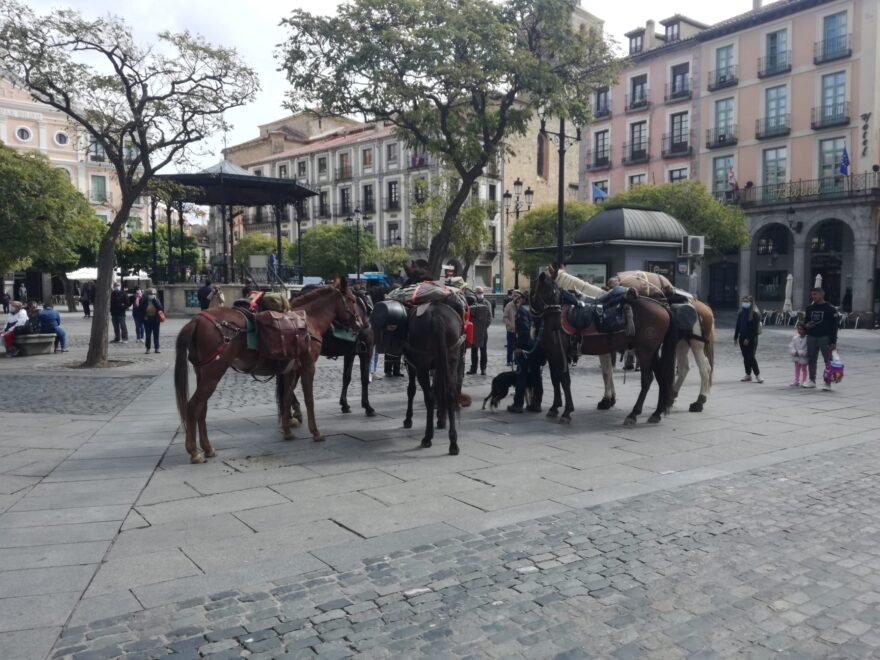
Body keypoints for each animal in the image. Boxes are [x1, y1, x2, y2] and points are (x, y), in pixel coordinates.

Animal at [175, 282, 360, 464]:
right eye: (352, 300)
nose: (359, 324)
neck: (308, 322)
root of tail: (197, 319)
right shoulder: (308, 366)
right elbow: (309, 400)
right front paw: (315, 432)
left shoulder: (291, 370)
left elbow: (286, 398)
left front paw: (287, 430)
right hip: (214, 372)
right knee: (193, 406)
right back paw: (194, 452)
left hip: (202, 373)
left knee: (202, 407)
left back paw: (207, 448)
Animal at [528, 270, 680, 426]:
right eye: (545, 294)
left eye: (556, 294)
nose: (555, 325)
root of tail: (663, 307)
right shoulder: (552, 354)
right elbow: (555, 379)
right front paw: (554, 407)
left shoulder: (560, 353)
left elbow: (565, 380)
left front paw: (567, 411)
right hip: (652, 352)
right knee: (661, 377)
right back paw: (656, 413)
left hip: (644, 352)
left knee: (647, 380)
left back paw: (633, 414)